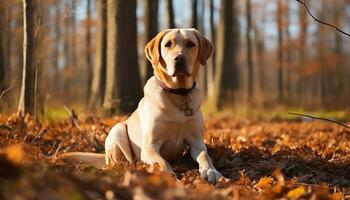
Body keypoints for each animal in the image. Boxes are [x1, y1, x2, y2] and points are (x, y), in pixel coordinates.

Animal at [61, 28, 221, 184]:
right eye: (168, 44)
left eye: (190, 44)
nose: (179, 58)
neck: (179, 93)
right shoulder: (149, 146)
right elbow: (162, 162)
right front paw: (169, 176)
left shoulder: (196, 140)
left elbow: (204, 155)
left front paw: (210, 171)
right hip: (118, 130)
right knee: (118, 162)